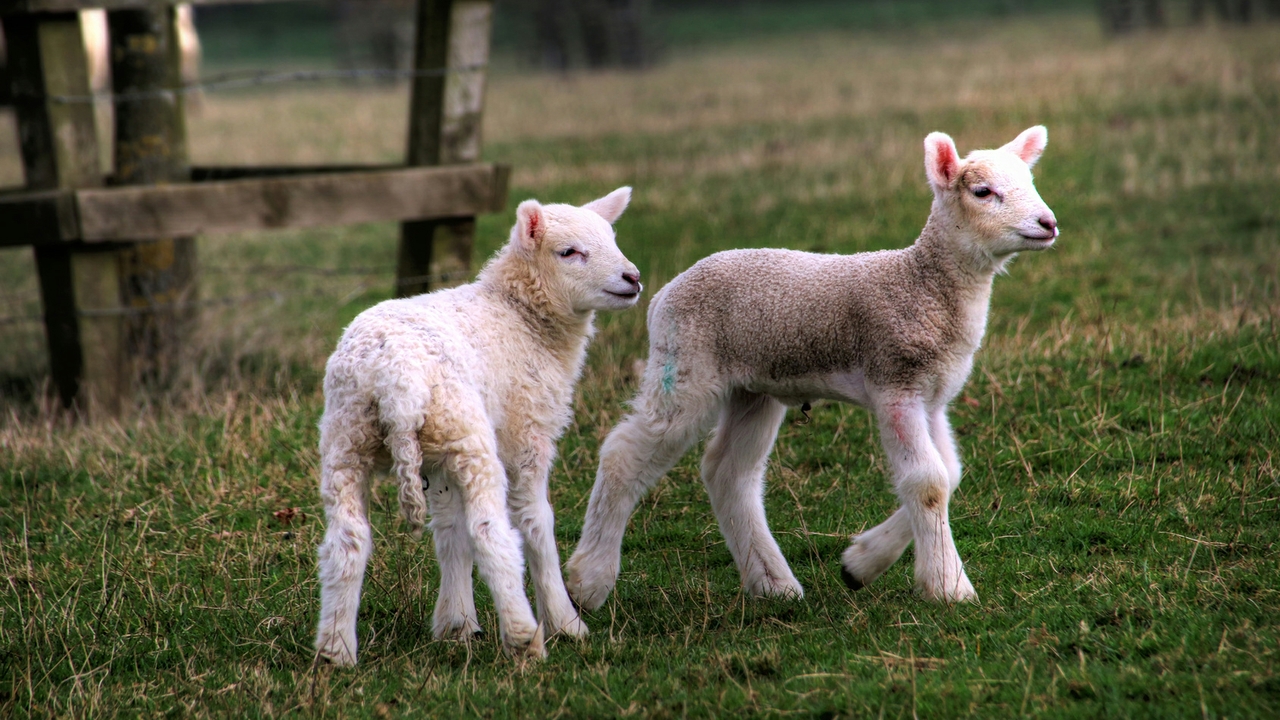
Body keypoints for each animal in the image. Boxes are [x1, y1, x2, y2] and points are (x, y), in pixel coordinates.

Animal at [314, 187, 642, 666]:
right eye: (569, 252)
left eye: (613, 240)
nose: (632, 278)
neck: (520, 316)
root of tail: (395, 377)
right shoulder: (526, 431)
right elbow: (535, 521)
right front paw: (566, 623)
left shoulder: (437, 460)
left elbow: (450, 531)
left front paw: (456, 624)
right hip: (468, 435)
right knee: (492, 533)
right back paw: (524, 636)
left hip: (352, 437)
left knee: (347, 541)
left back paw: (335, 651)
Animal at [565, 127, 1058, 609]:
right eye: (982, 191)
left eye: (1032, 182)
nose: (1048, 223)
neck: (923, 284)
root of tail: (664, 292)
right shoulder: (896, 382)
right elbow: (928, 482)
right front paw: (949, 586)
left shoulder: (932, 396)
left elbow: (950, 475)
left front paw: (860, 564)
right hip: (684, 365)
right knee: (623, 455)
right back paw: (588, 583)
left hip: (753, 389)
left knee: (729, 472)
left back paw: (773, 584)